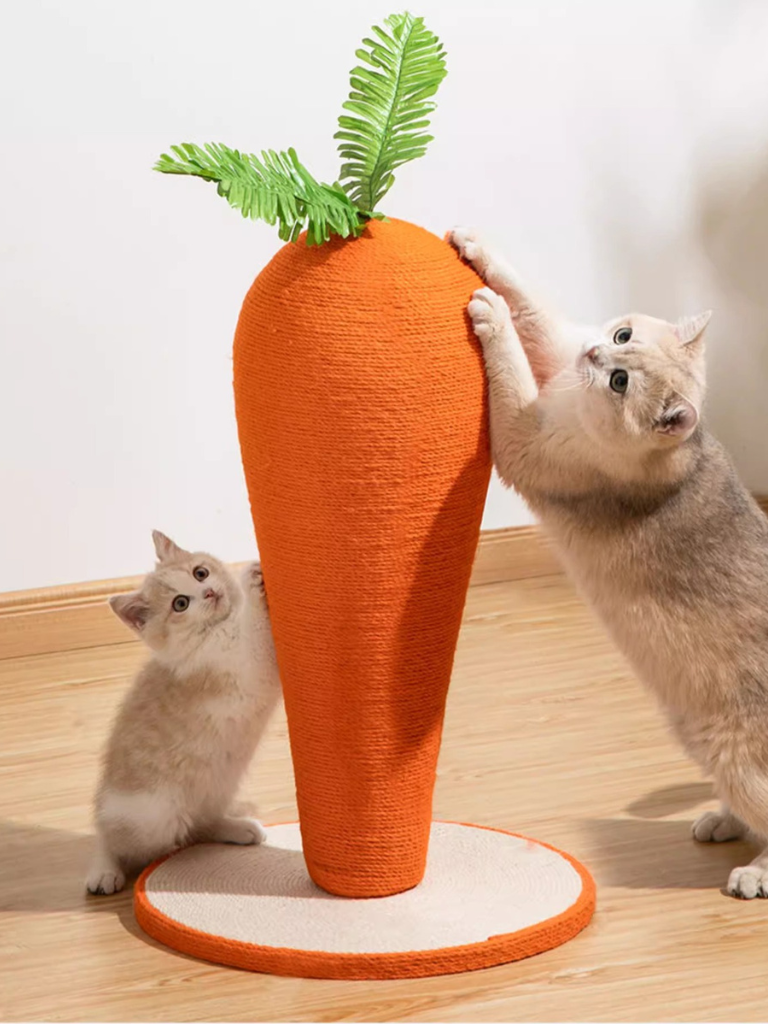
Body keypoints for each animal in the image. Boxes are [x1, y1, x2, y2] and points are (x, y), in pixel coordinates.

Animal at [86, 532, 282, 892]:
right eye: (180, 604)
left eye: (200, 573)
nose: (209, 592)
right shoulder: (243, 666)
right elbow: (254, 634)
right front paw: (250, 581)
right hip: (153, 816)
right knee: (113, 837)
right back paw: (104, 870)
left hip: (217, 787)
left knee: (198, 826)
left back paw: (238, 828)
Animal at [454, 226, 768, 897]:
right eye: (622, 336)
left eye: (621, 381)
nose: (597, 354)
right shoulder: (559, 355)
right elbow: (533, 306)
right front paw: (476, 246)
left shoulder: (523, 435)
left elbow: (511, 362)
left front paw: (488, 314)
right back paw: (721, 821)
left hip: (734, 753)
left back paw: (752, 872)